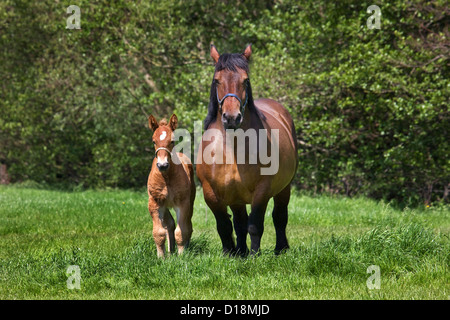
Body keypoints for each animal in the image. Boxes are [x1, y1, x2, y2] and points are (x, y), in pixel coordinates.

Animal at [148, 113, 195, 258]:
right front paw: (161, 257)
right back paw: (170, 251)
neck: (166, 178)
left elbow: (181, 231)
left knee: (188, 225)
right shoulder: (155, 203)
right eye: (153, 141)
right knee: (169, 224)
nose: (162, 165)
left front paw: (181, 255)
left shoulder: (182, 203)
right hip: (165, 206)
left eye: (172, 141)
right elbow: (159, 232)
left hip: (190, 202)